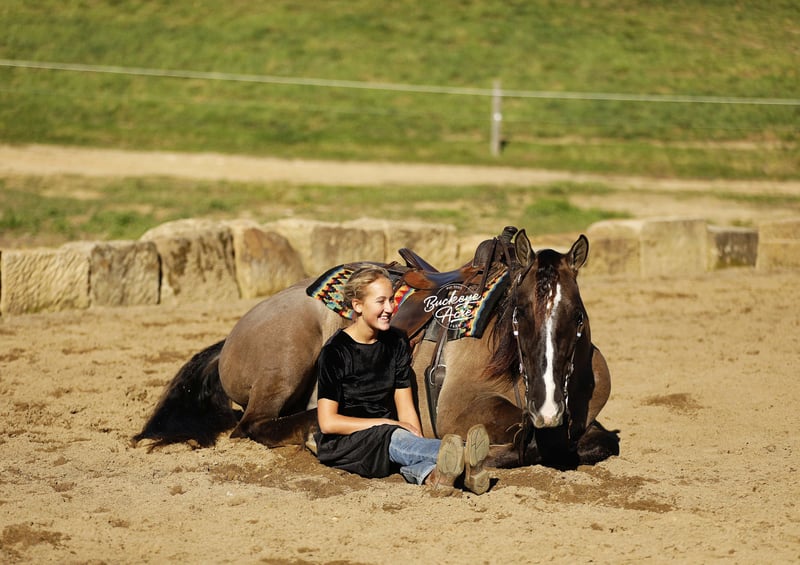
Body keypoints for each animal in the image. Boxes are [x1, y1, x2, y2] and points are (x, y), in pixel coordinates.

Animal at [133, 228, 619, 469]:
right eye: (518, 315)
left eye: (578, 318)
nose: (548, 409)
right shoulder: (460, 411)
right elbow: (522, 440)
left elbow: (597, 441)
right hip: (288, 360)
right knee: (253, 425)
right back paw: (312, 431)